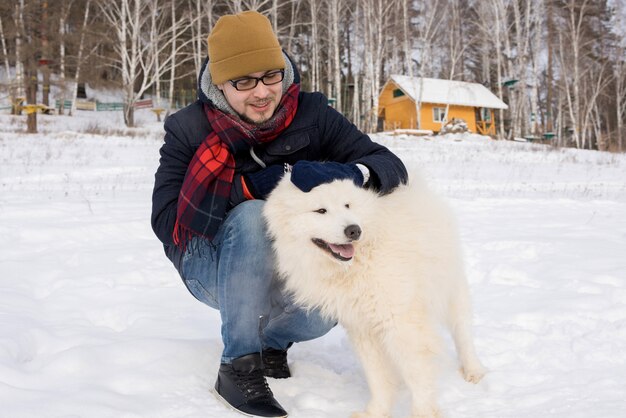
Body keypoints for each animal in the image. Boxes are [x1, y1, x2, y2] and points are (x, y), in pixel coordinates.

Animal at [260, 177, 486, 418]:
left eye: (347, 205)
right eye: (320, 210)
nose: (353, 230)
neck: (355, 264)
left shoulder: (400, 322)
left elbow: (417, 373)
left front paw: (423, 412)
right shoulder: (361, 326)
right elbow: (377, 377)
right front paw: (376, 411)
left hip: (451, 287)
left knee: (462, 331)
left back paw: (473, 370)